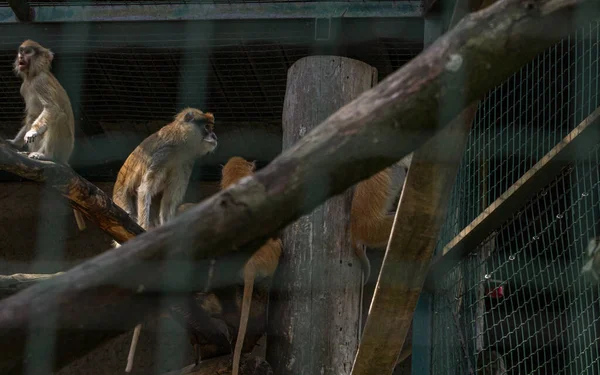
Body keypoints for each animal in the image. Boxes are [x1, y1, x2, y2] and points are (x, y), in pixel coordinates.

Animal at [7, 39, 86, 232]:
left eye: (28, 52)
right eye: (21, 51)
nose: (21, 56)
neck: (33, 75)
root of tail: (66, 158)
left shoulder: (39, 82)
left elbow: (51, 109)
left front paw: (32, 132)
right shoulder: (25, 87)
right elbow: (32, 116)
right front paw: (14, 143)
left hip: (64, 146)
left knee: (59, 117)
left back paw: (46, 156)